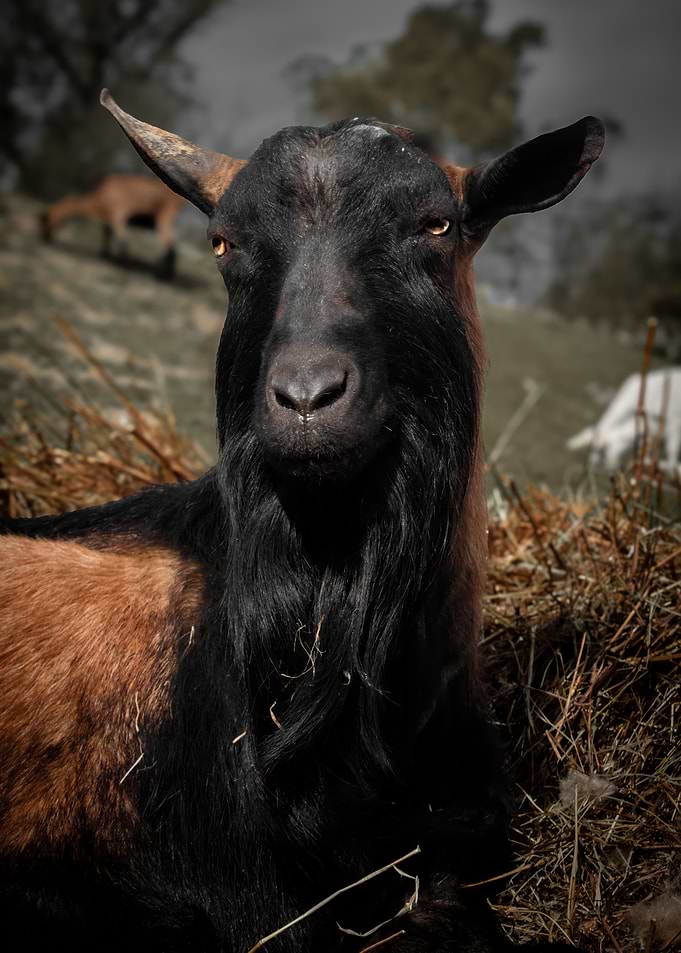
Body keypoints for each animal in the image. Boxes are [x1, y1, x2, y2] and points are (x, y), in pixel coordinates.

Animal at [40, 173, 185, 280]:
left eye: (45, 222)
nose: (45, 238)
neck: (97, 201)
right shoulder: (109, 220)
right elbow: (107, 234)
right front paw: (105, 255)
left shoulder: (118, 216)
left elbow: (123, 242)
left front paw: (123, 264)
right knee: (172, 248)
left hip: (164, 218)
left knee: (170, 249)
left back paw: (162, 276)